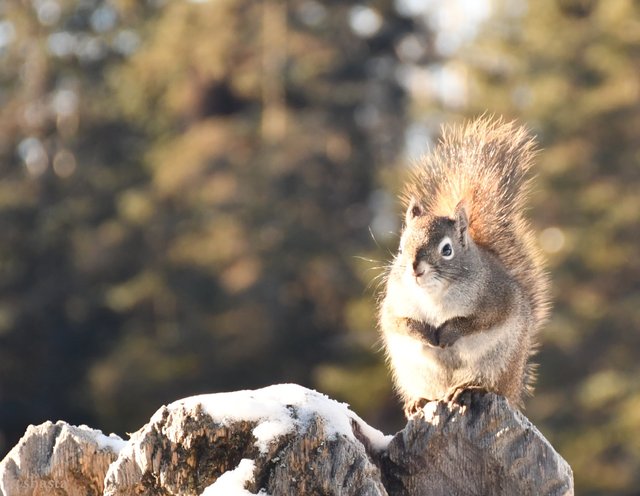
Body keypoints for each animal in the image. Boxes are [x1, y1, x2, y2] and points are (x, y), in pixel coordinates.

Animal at [380, 117, 552, 418]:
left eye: (447, 250)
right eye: (400, 249)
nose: (415, 269)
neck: (434, 294)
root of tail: (514, 390)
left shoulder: (496, 299)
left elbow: (477, 321)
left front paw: (449, 332)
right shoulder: (394, 304)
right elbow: (396, 322)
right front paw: (422, 332)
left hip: (498, 363)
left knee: (488, 385)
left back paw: (468, 389)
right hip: (415, 373)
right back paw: (419, 401)